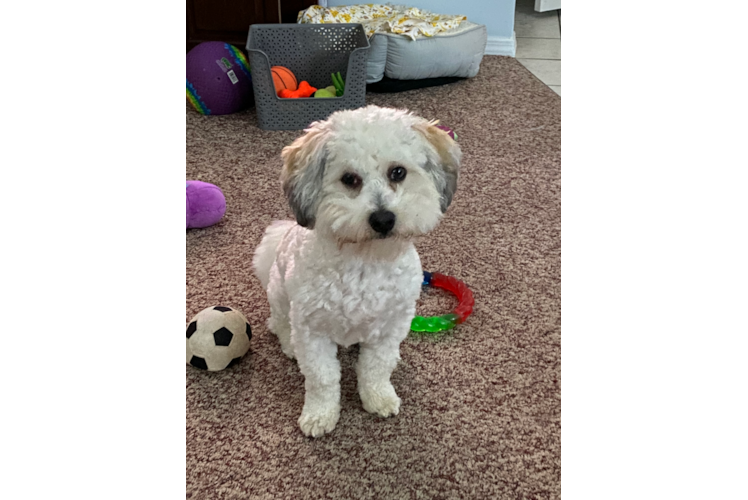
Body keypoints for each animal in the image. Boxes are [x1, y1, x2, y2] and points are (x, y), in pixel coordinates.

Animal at [254, 105, 458, 438]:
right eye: (349, 179)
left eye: (397, 172)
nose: (383, 219)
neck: (365, 261)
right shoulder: (312, 332)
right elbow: (322, 378)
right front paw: (319, 415)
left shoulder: (391, 326)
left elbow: (376, 367)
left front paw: (379, 397)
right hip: (280, 293)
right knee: (280, 324)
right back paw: (288, 344)